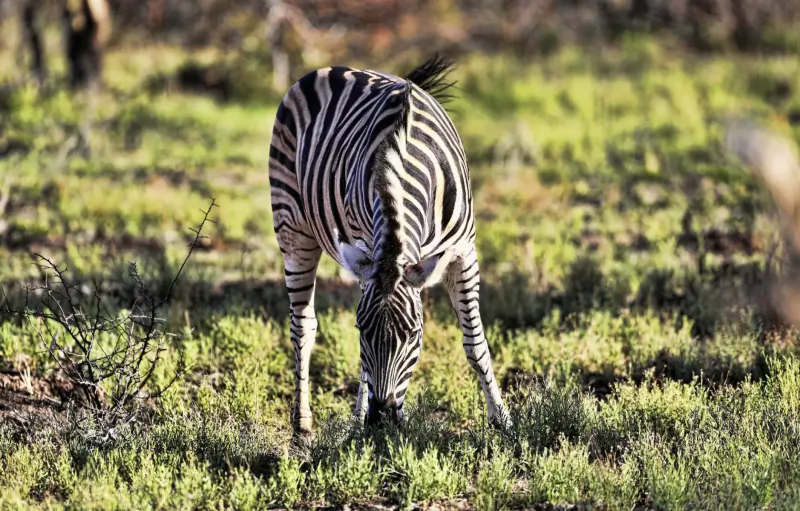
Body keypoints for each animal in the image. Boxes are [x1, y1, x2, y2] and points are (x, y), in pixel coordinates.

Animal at [268, 56, 510, 435]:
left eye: (413, 334)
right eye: (360, 331)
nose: (380, 419)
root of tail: (333, 68)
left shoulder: (463, 252)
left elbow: (475, 343)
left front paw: (502, 420)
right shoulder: (366, 249)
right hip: (292, 227)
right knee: (302, 326)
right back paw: (303, 423)